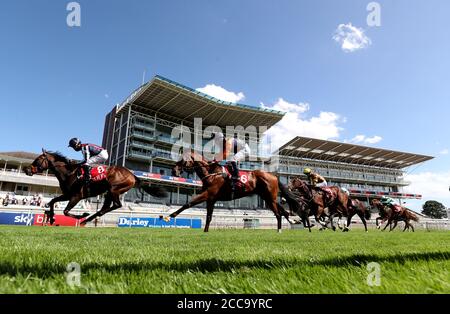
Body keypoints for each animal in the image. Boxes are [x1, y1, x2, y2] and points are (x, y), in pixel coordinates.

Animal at [24, 150, 167, 226]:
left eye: (37, 159)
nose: (26, 170)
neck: (69, 173)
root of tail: (132, 175)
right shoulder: (67, 195)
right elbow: (53, 201)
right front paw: (52, 217)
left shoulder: (76, 196)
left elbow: (65, 211)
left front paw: (82, 214)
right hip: (109, 193)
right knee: (106, 207)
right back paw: (88, 219)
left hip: (114, 189)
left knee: (117, 205)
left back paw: (86, 218)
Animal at [163, 151, 298, 232]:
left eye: (183, 159)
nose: (174, 171)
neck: (211, 173)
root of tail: (274, 176)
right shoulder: (211, 199)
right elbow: (208, 217)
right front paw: (205, 232)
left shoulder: (207, 194)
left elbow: (188, 204)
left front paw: (169, 216)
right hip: (267, 197)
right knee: (282, 210)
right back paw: (292, 220)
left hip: (270, 197)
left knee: (278, 213)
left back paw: (279, 230)